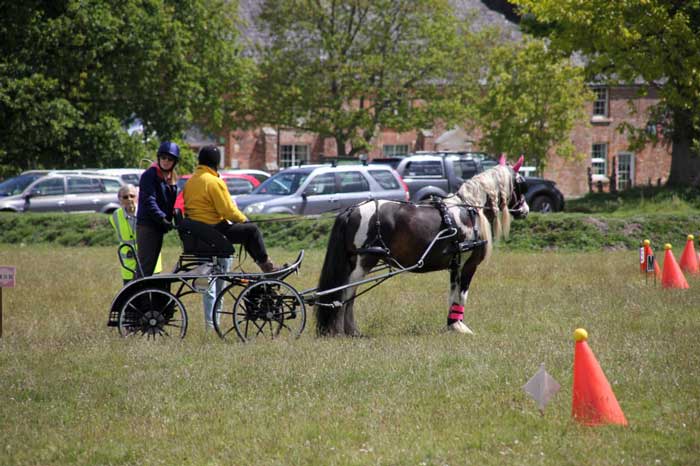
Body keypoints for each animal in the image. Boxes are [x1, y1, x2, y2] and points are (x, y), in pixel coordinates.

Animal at [314, 156, 528, 334]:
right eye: (521, 184)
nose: (525, 210)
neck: (470, 209)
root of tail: (352, 209)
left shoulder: (455, 265)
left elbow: (453, 295)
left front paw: (452, 324)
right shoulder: (468, 265)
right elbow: (462, 295)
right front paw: (460, 326)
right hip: (363, 262)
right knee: (346, 293)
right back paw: (346, 331)